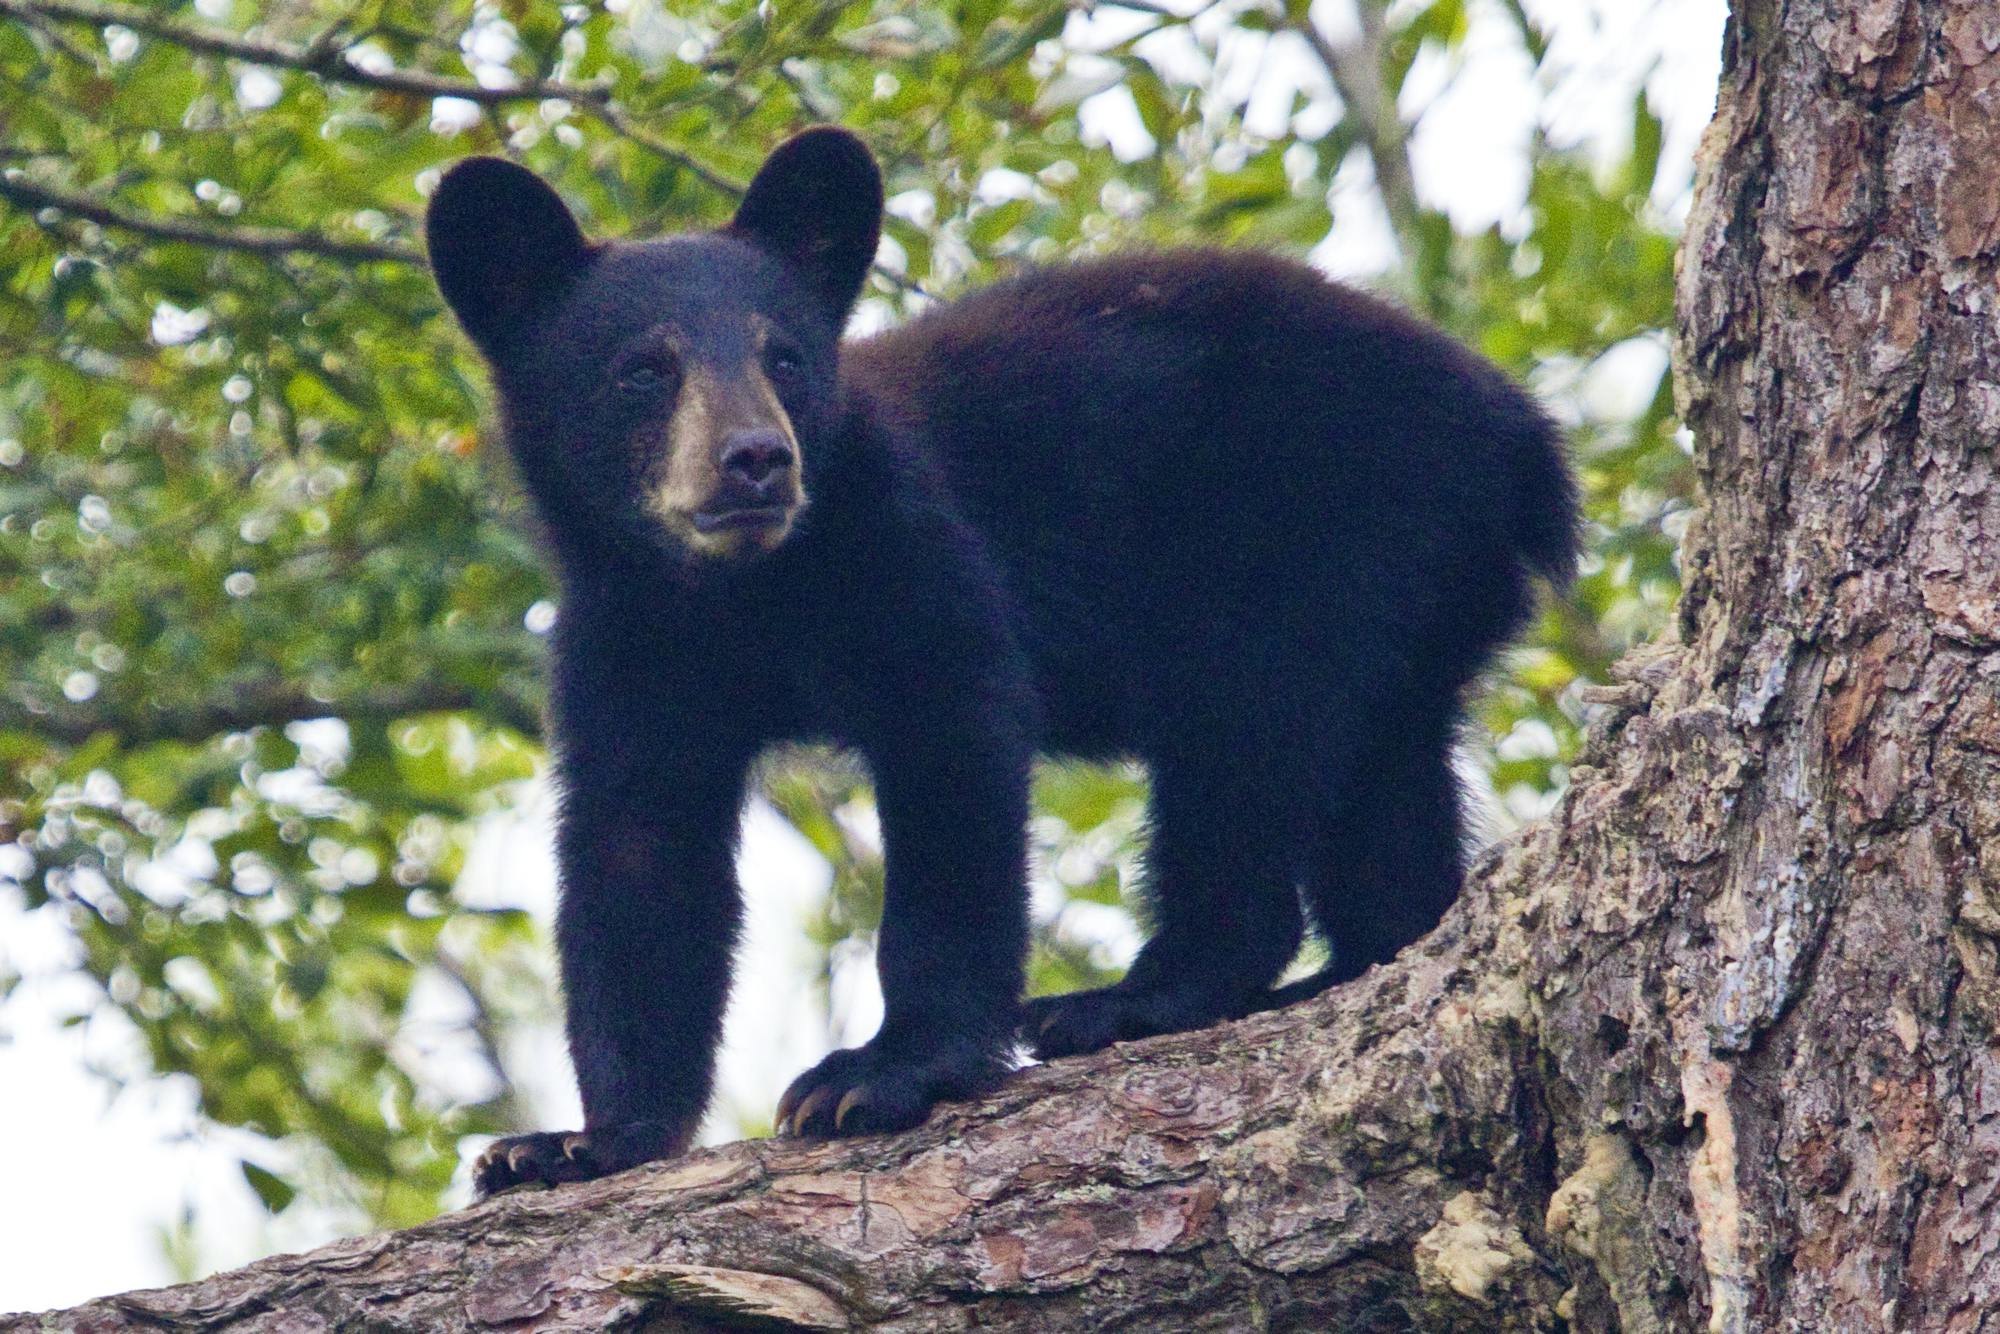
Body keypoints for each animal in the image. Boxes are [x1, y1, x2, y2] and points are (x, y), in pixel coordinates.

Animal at [424, 127, 1577, 1195]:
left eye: (783, 355)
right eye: (642, 370)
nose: (755, 458)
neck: (747, 594)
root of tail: (1520, 430)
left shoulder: (909, 546)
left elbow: (955, 760)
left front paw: (878, 1072)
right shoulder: (627, 640)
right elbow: (639, 858)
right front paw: (577, 1143)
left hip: (1324, 523)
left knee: (1244, 738)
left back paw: (1127, 998)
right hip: (1417, 576)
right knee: (1384, 772)